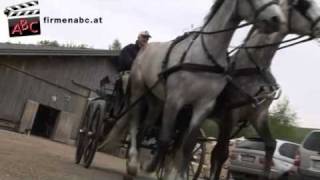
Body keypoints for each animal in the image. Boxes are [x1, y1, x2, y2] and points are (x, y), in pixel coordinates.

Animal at [126, 0, 286, 179]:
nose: (277, 19)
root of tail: (145, 48)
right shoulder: (176, 100)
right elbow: (165, 138)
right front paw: (150, 168)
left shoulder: (205, 105)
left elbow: (189, 145)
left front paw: (178, 174)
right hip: (138, 90)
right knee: (134, 120)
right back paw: (133, 162)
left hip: (156, 99)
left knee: (146, 126)